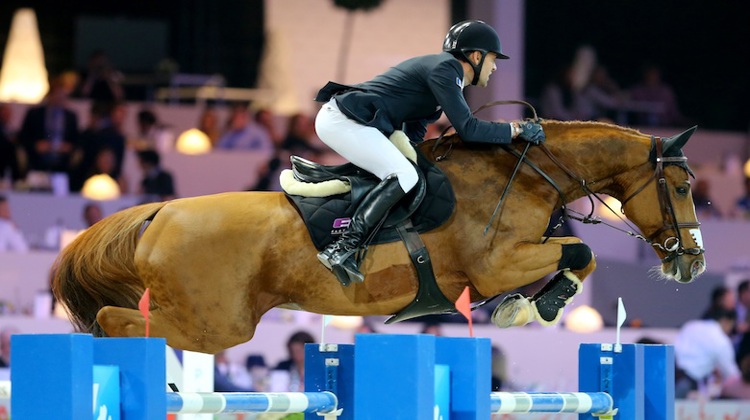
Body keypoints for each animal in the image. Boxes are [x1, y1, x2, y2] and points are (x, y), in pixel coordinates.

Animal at [51, 120, 704, 352]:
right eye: (680, 187)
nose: (693, 262)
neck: (521, 173)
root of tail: (160, 213)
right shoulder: (495, 265)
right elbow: (582, 251)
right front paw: (531, 307)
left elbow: (580, 254)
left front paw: (526, 307)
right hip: (216, 325)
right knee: (114, 320)